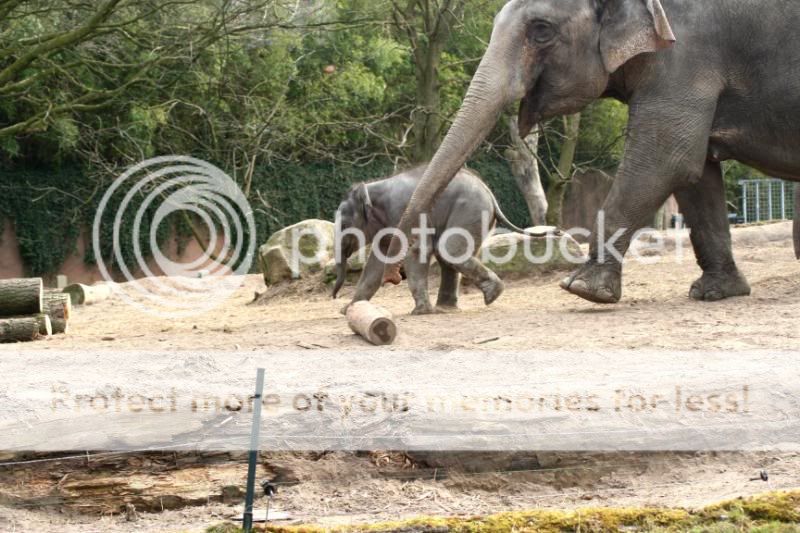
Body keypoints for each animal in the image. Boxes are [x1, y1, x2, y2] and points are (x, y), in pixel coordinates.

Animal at [332, 166, 528, 314]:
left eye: (344, 225)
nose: (333, 297)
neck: (371, 188)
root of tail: (490, 195)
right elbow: (376, 262)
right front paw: (349, 309)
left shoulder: (402, 211)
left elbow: (416, 250)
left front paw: (420, 312)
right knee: (448, 254)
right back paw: (447, 308)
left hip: (471, 209)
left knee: (450, 250)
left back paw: (491, 295)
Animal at [382, 0, 800, 302]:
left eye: (541, 30)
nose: (392, 276)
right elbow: (696, 173)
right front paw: (715, 292)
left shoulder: (687, 56)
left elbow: (667, 159)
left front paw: (582, 289)